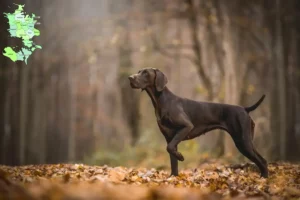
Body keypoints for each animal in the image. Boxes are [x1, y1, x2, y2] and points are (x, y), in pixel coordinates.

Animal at [127, 68, 268, 177]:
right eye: (138, 72)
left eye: (145, 73)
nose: (130, 78)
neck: (161, 101)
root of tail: (244, 108)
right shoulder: (170, 137)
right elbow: (172, 160)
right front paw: (173, 178)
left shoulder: (186, 127)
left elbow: (170, 148)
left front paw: (181, 157)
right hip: (247, 141)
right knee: (262, 160)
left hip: (242, 141)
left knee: (262, 161)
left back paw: (263, 180)